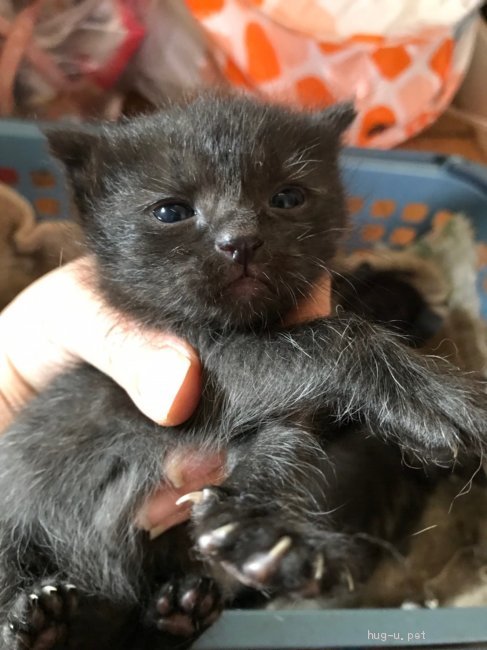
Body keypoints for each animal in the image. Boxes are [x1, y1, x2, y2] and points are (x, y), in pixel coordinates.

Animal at [0, 92, 487, 648]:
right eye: (171, 211)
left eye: (288, 197)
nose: (241, 241)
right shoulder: (201, 373)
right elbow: (338, 333)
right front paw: (441, 401)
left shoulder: (278, 424)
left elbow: (275, 463)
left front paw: (266, 536)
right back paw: (36, 618)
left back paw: (173, 611)